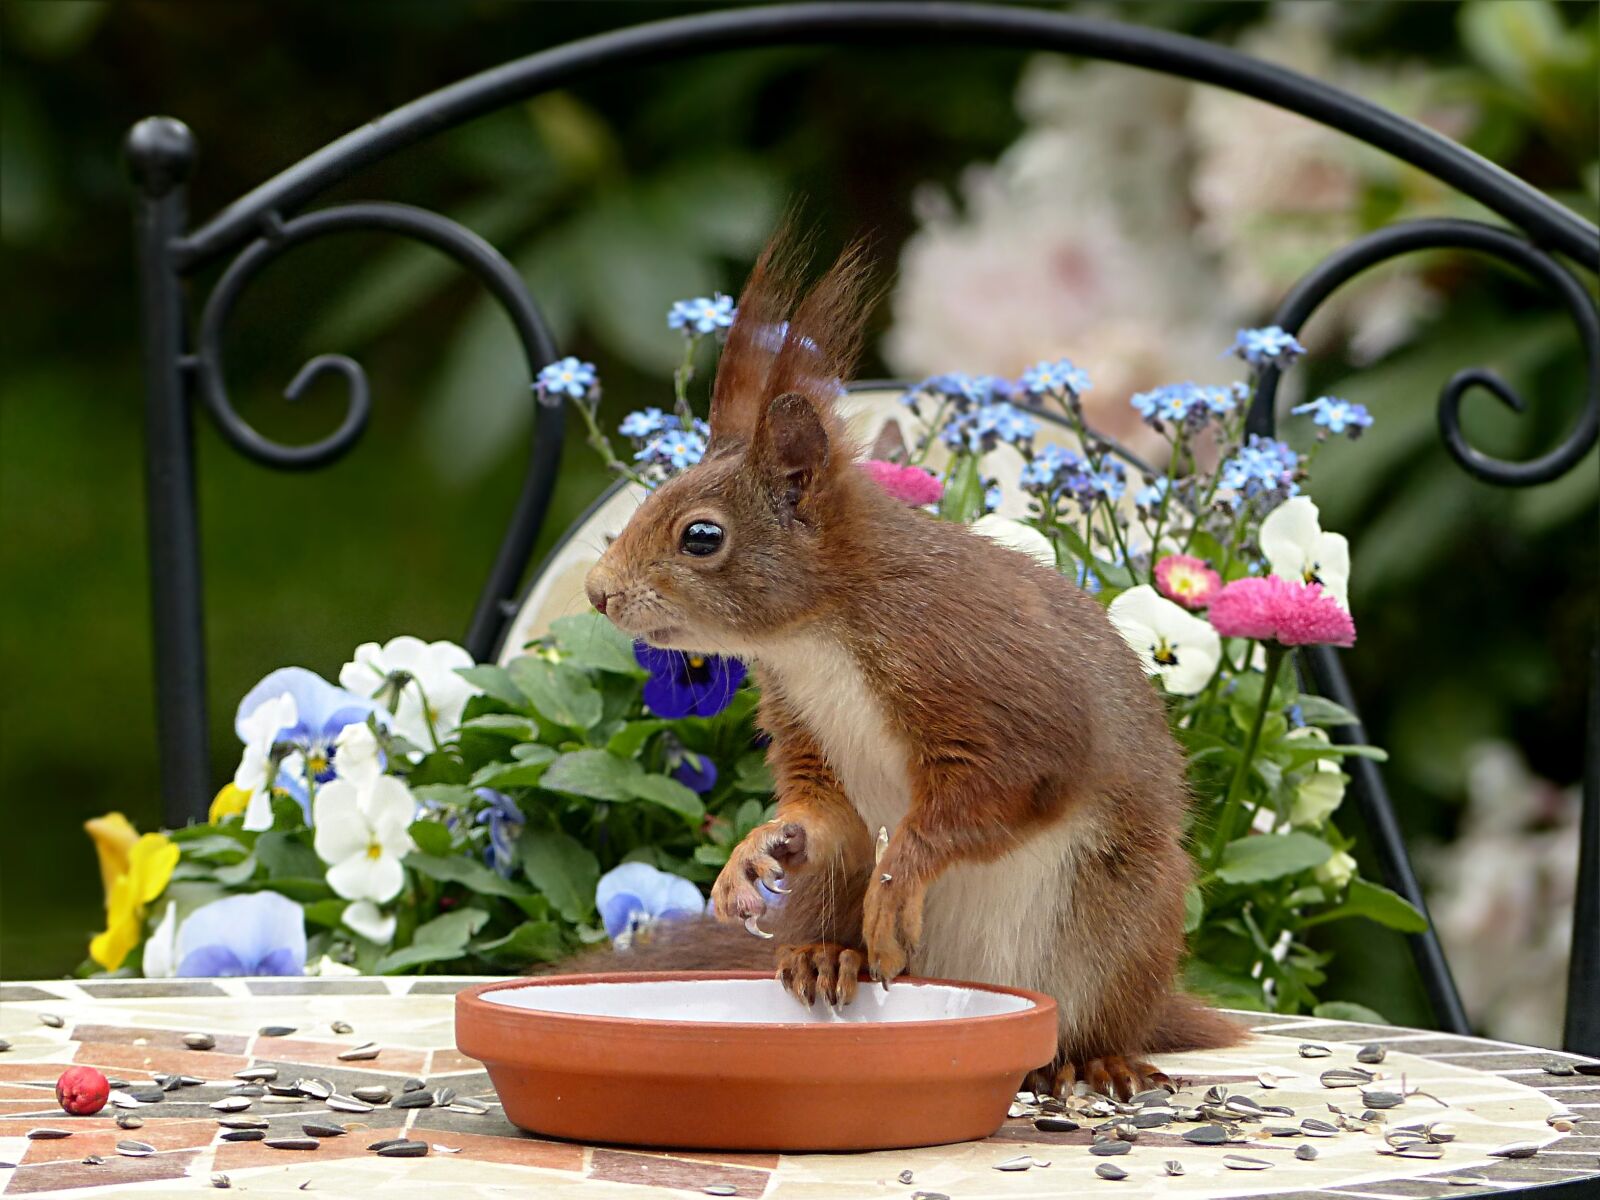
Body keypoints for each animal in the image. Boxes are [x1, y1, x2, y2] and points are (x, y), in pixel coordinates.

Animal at [577, 228, 1241, 1099]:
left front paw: (897, 889)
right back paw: (827, 956)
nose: (597, 592)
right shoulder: (802, 718)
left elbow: (994, 796)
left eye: (701, 536)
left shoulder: (981, 679)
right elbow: (820, 809)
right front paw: (758, 848)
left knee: (1100, 1017)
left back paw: (1095, 1058)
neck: (819, 634)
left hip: (1125, 917)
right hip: (829, 892)